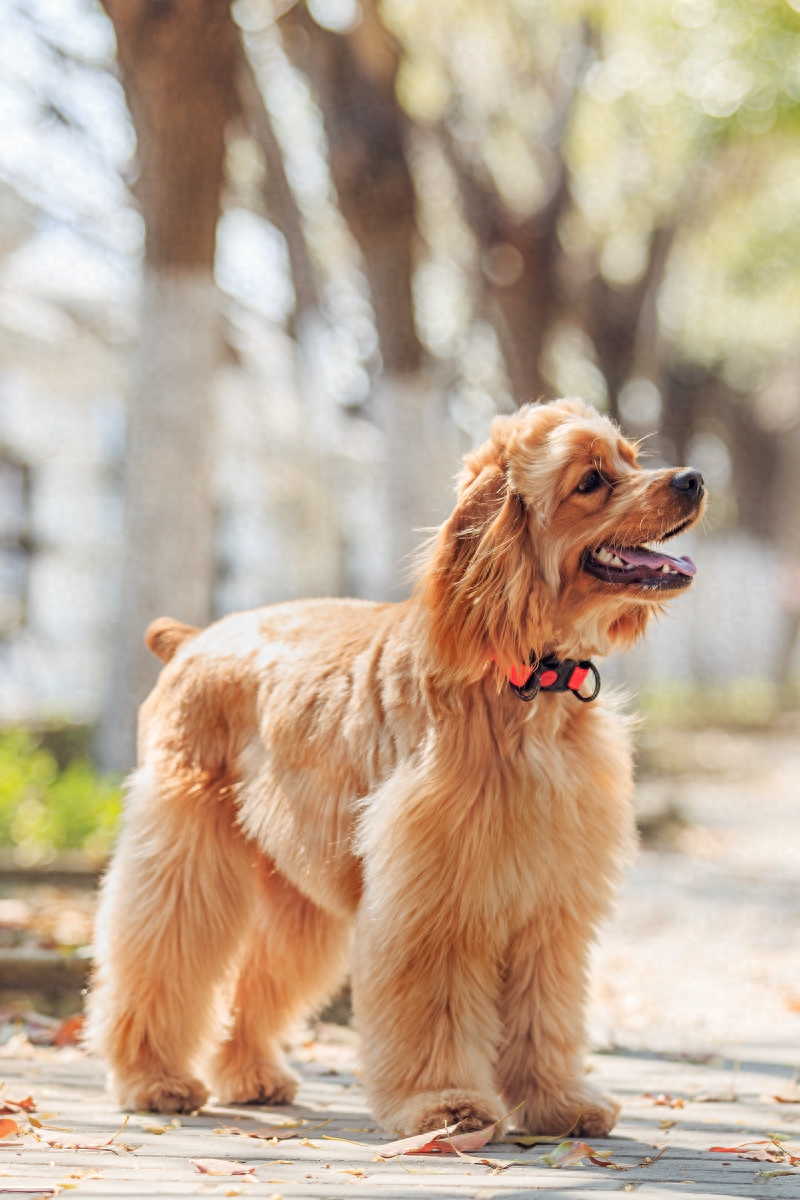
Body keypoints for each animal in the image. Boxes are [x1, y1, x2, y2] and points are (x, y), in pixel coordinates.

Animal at [84, 398, 705, 1137]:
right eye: (590, 481)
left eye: (631, 459)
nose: (694, 478)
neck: (523, 684)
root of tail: (193, 637)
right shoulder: (438, 894)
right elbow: (437, 1005)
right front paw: (445, 1102)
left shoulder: (547, 900)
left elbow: (543, 1010)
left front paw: (557, 1100)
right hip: (186, 856)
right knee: (156, 958)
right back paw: (153, 1078)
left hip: (298, 893)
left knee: (258, 977)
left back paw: (252, 1073)